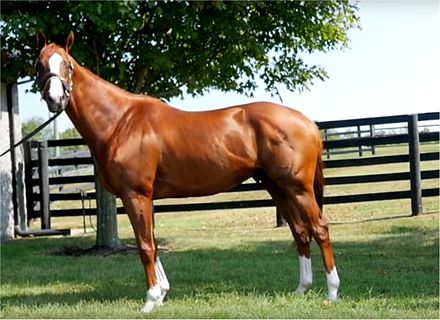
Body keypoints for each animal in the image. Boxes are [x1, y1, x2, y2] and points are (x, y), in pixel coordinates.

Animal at [36, 32, 338, 312]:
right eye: (39, 64)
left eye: (68, 65)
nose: (55, 99)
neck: (120, 121)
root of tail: (307, 123)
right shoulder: (145, 198)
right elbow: (152, 241)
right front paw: (161, 295)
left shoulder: (135, 195)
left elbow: (145, 245)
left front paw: (150, 300)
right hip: (277, 187)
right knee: (300, 231)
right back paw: (301, 289)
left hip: (298, 188)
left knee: (319, 229)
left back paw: (332, 292)